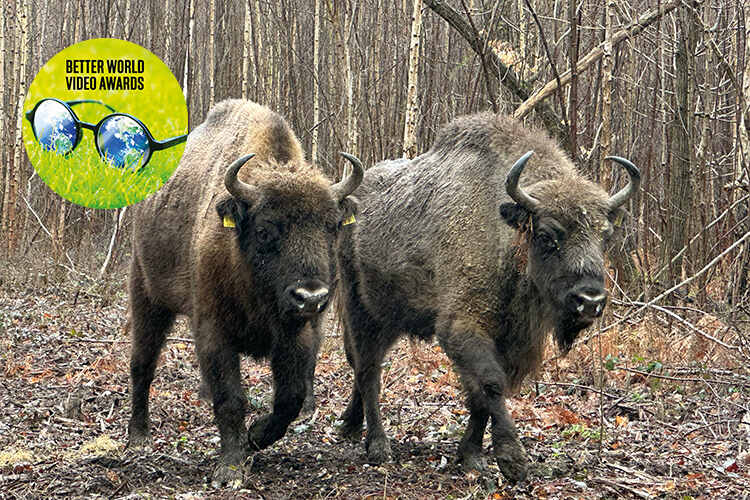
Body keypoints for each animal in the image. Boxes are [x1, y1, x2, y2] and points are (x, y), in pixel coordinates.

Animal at [126, 99, 363, 485]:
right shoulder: (214, 330)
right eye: (266, 229)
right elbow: (231, 399)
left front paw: (255, 437)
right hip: (146, 296)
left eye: (330, 226)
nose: (311, 297)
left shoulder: (297, 334)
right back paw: (138, 436)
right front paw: (230, 468)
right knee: (142, 364)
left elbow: (290, 397)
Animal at [336, 112, 639, 482]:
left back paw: (351, 426)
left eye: (604, 236)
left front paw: (471, 455)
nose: (590, 301)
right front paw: (512, 459)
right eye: (547, 236)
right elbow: (491, 384)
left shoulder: (508, 341)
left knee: (362, 367)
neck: (504, 235)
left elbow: (481, 396)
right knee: (368, 370)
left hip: (391, 318)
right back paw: (378, 445)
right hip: (362, 310)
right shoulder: (461, 328)